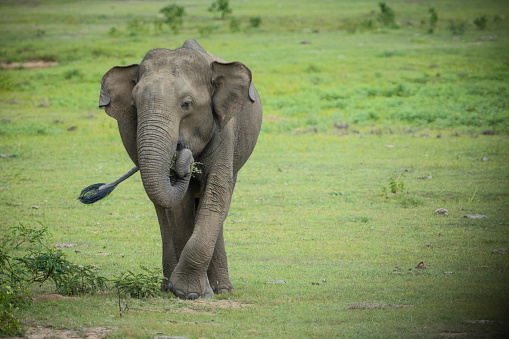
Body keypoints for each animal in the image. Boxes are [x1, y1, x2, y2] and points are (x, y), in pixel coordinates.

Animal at [97, 40, 262, 300]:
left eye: (187, 104)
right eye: (134, 106)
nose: (181, 154)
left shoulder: (225, 130)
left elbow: (216, 192)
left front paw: (193, 292)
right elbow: (178, 208)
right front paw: (191, 292)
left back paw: (223, 289)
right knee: (162, 211)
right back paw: (170, 287)